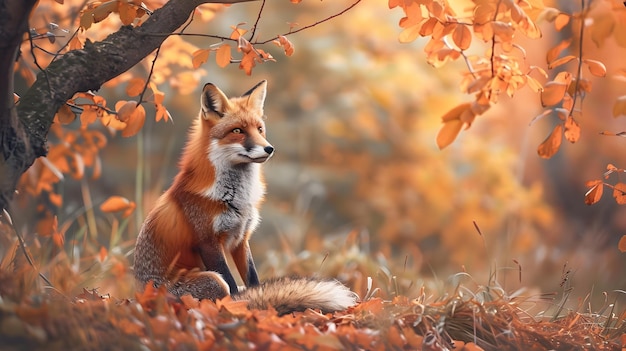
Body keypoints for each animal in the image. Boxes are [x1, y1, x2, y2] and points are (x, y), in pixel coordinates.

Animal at [132, 81, 356, 314]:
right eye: (237, 131)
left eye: (259, 129)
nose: (269, 148)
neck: (237, 198)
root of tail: (140, 296)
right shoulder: (207, 241)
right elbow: (232, 285)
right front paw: (245, 304)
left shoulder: (241, 238)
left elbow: (253, 279)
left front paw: (259, 300)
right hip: (211, 280)